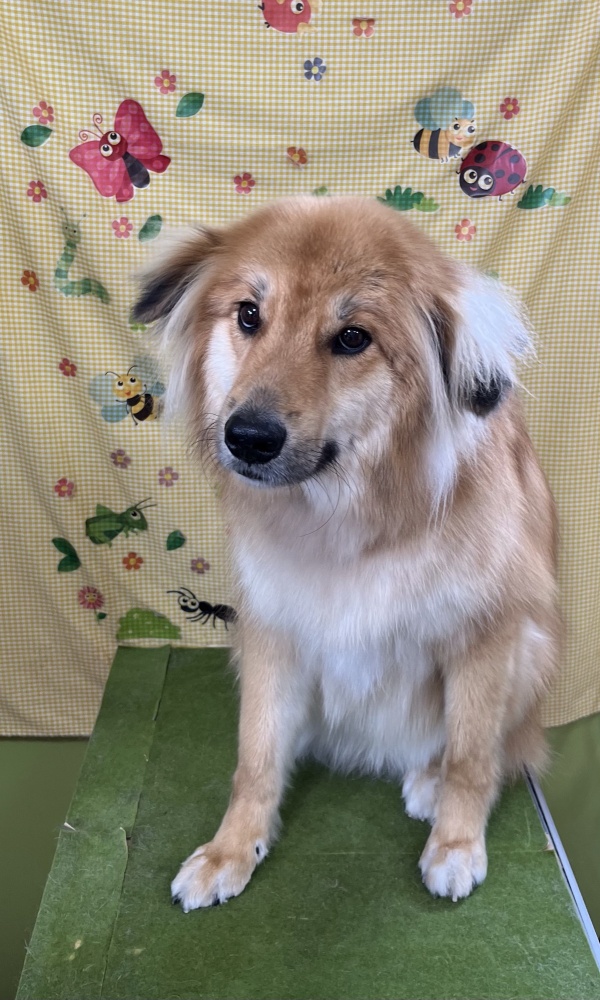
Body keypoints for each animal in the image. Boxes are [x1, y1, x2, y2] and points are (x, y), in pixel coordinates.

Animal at [133, 195, 560, 910]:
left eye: (353, 338)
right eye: (249, 315)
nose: (248, 437)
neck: (349, 519)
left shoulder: (489, 632)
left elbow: (473, 755)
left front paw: (456, 845)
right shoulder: (273, 629)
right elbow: (255, 758)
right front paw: (231, 850)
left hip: (531, 652)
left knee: (500, 745)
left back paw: (430, 779)